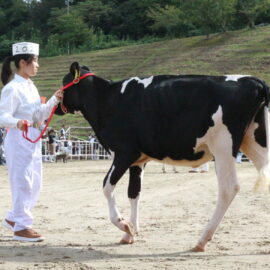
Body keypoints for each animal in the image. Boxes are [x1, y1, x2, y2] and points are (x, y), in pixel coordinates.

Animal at [54, 62, 270, 252]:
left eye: (64, 81)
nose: (55, 105)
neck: (107, 100)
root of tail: (254, 81)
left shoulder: (124, 153)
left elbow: (107, 187)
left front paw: (124, 225)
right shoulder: (138, 160)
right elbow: (134, 193)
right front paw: (130, 233)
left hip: (223, 146)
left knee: (228, 188)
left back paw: (202, 239)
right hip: (254, 141)